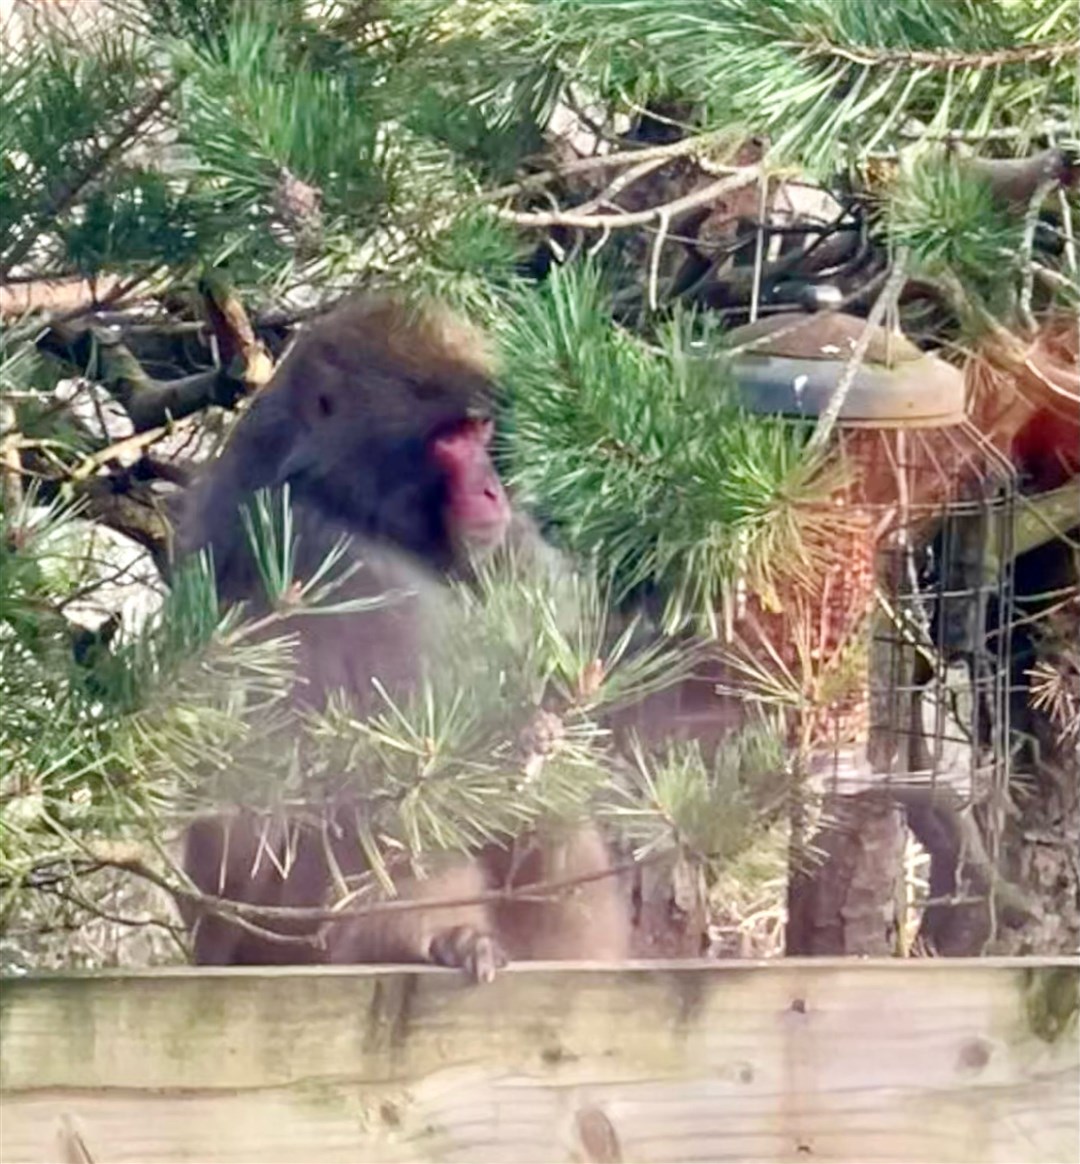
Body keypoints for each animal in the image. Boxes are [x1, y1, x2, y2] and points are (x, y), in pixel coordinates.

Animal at [173, 295, 628, 977]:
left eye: (479, 431)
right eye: (448, 439)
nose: (492, 490)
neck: (336, 490)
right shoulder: (336, 558)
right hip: (286, 929)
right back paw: (422, 938)